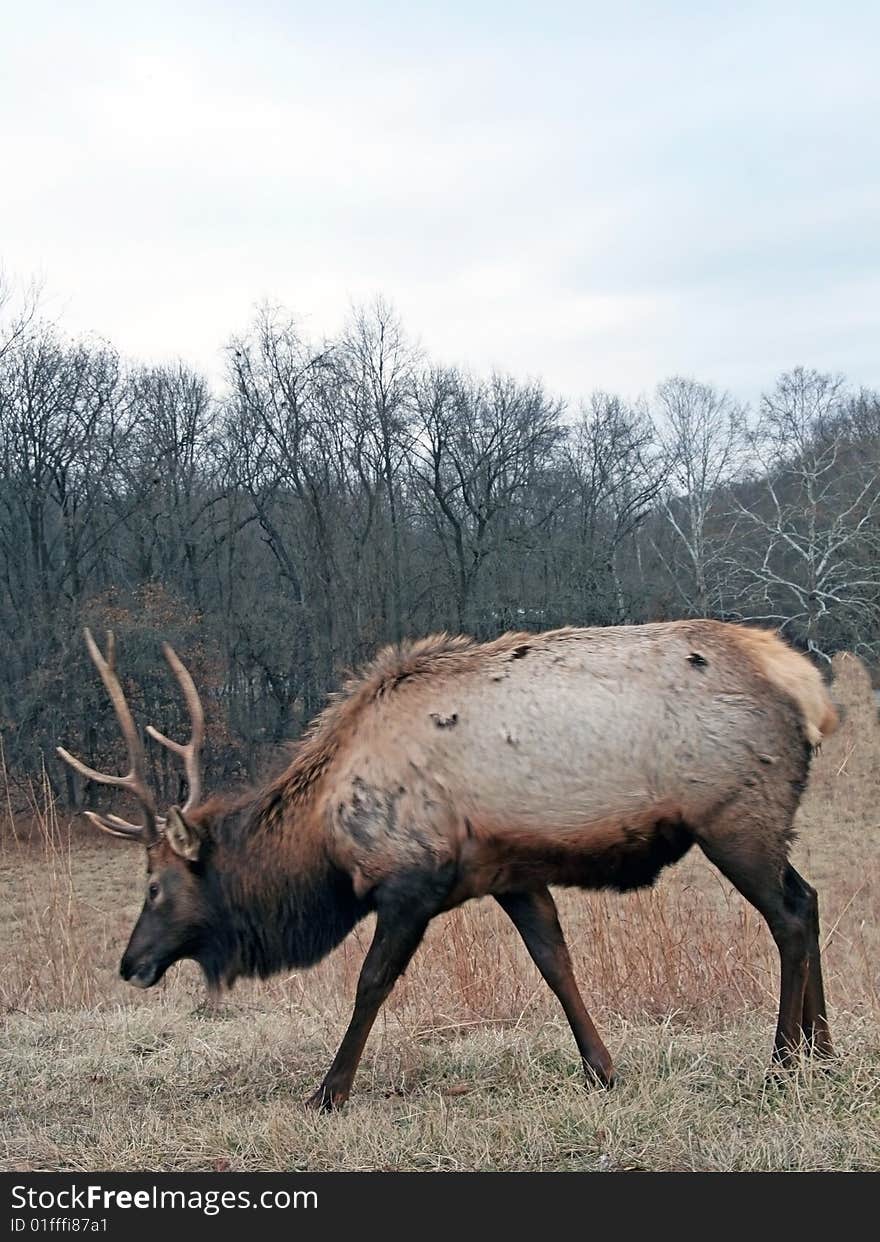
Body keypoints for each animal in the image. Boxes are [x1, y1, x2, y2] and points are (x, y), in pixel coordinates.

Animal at [58, 621, 834, 1107]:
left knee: (791, 914)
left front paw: (328, 1091)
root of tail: (811, 691)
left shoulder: (413, 880)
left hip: (736, 816)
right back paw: (825, 1053)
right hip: (759, 822)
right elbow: (555, 963)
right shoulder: (513, 873)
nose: (130, 963)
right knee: (812, 898)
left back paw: (784, 1062)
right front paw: (603, 1070)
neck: (324, 847)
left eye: (155, 886)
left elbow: (371, 983)